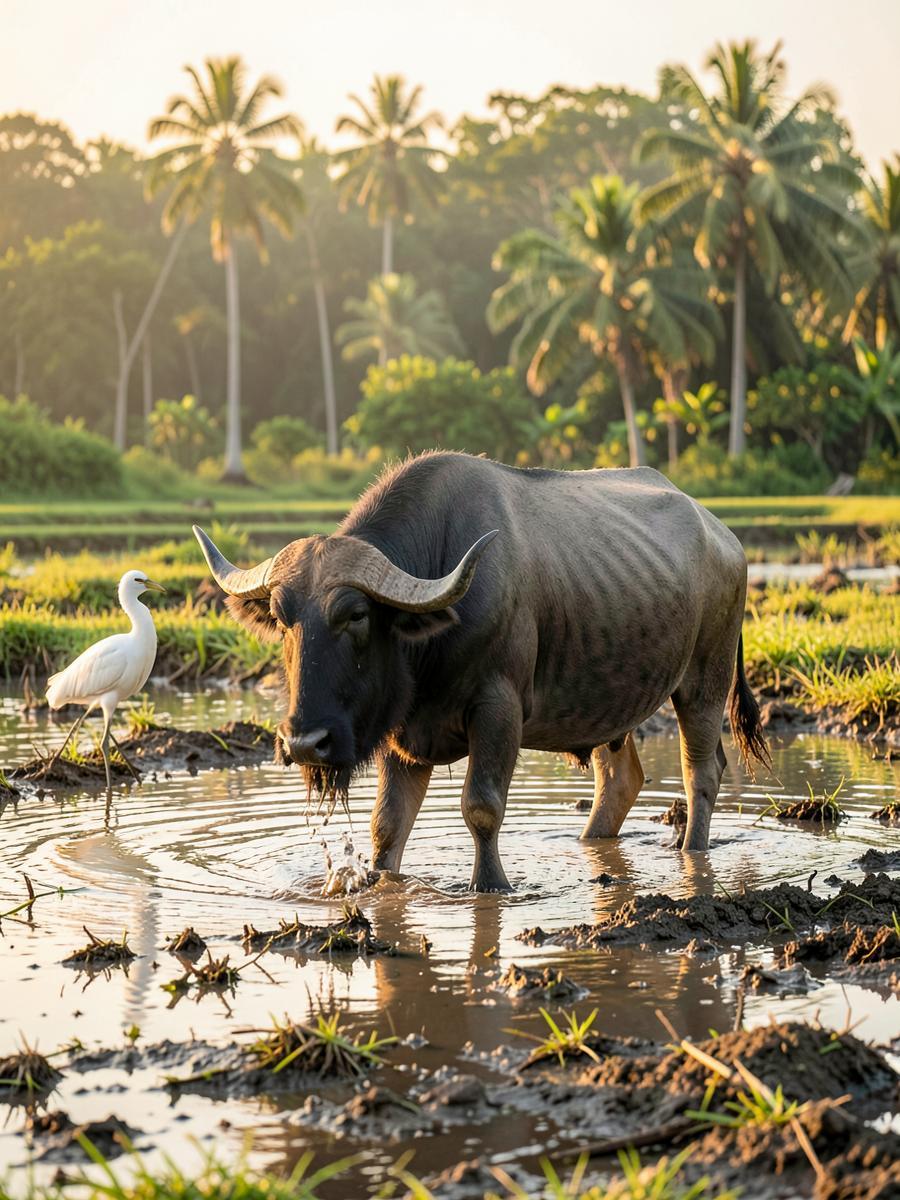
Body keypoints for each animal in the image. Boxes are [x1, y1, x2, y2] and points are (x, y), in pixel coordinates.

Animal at [194, 451, 770, 891]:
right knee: (622, 779)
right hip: (613, 699)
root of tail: (727, 539)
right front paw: (383, 882)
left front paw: (489, 885)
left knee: (702, 772)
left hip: (704, 682)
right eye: (281, 616)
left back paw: (693, 853)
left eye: (355, 614)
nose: (304, 743)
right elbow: (388, 824)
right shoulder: (405, 730)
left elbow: (482, 807)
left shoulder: (499, 709)